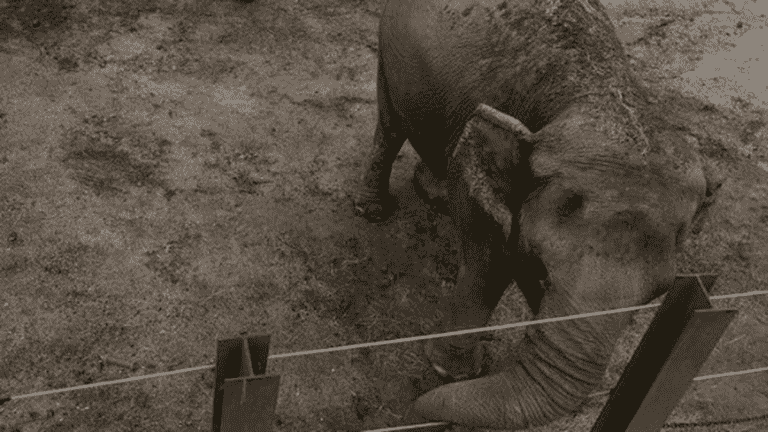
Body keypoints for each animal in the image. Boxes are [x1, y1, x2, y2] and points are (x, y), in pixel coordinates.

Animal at [352, 0, 724, 428]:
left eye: (656, 295)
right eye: (543, 274)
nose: (411, 411)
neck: (602, 95)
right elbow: (488, 258)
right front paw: (454, 371)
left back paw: (433, 194)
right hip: (389, 53)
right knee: (390, 124)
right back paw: (373, 209)